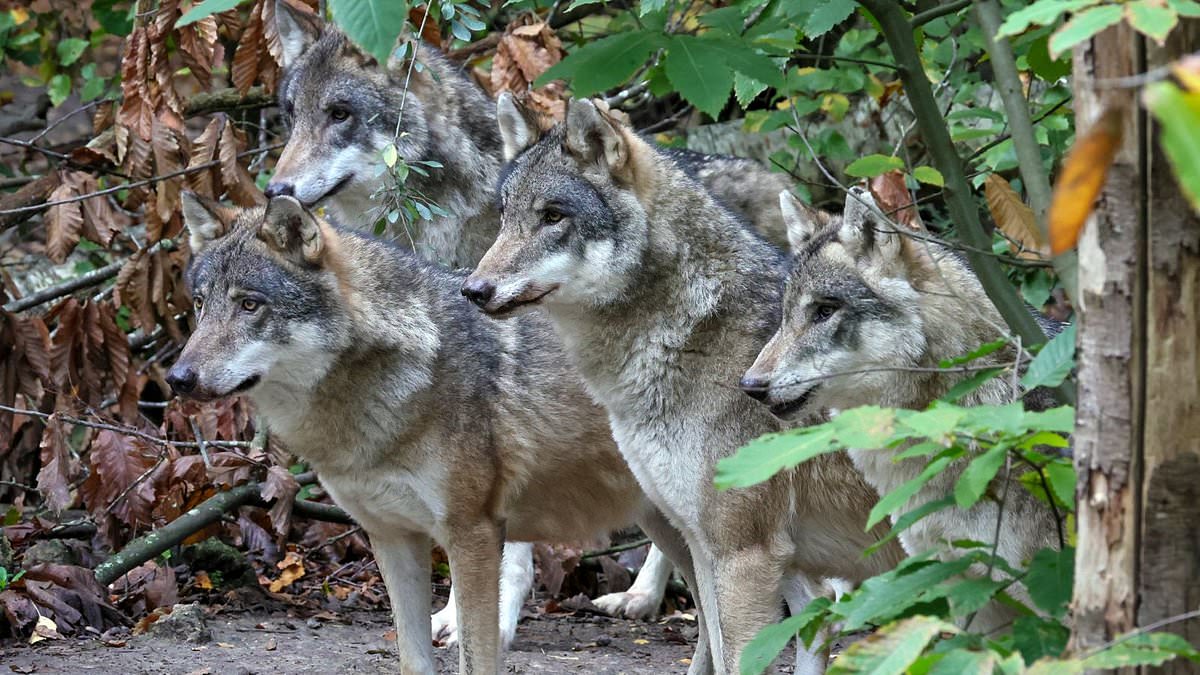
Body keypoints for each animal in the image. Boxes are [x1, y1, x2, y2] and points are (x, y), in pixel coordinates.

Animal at [166, 194, 711, 674]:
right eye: (200, 304)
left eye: (249, 305)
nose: (178, 378)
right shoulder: (391, 537)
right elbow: (412, 657)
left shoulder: (473, 534)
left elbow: (477, 657)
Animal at [462, 95, 905, 674]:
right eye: (505, 215)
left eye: (553, 217)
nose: (473, 289)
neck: (693, 333)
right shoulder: (711, 542)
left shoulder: (743, 552)